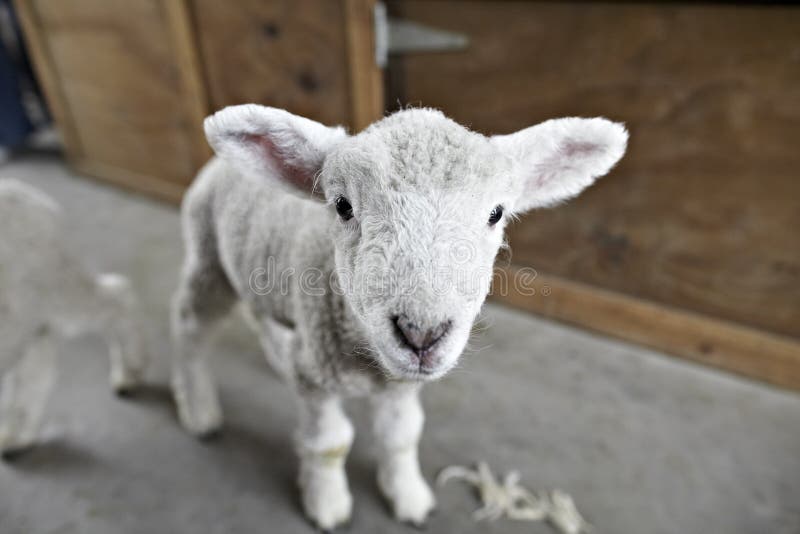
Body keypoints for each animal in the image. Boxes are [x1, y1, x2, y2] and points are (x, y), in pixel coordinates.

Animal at [172, 104, 628, 532]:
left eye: (496, 213)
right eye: (342, 206)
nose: (421, 334)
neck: (367, 358)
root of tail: (217, 165)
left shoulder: (398, 385)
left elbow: (401, 436)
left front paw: (409, 497)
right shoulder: (318, 377)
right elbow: (329, 443)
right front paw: (327, 503)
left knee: (262, 320)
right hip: (208, 256)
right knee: (189, 325)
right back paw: (199, 411)